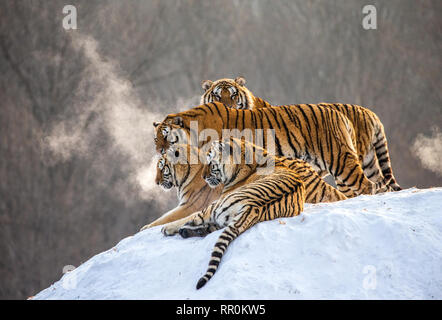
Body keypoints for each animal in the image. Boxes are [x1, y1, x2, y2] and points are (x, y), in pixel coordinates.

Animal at [154, 102, 388, 198]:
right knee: (380, 183)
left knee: (366, 185)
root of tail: (340, 114)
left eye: (165, 136)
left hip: (340, 160)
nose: (158, 151)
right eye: (156, 139)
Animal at [202, 76, 402, 194]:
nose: (225, 107)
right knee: (381, 184)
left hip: (343, 163)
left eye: (233, 95)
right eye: (218, 96)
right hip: (369, 163)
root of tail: (370, 113)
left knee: (364, 186)